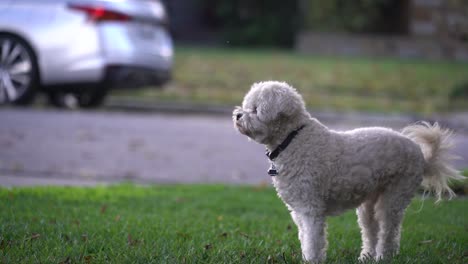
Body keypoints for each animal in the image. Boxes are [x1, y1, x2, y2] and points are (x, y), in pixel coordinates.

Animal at [232, 81, 462, 262]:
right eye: (247, 106)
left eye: (255, 109)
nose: (238, 115)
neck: (293, 139)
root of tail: (420, 154)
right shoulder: (299, 211)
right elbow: (305, 238)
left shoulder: (311, 209)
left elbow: (313, 241)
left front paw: (312, 260)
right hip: (369, 204)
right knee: (370, 231)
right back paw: (366, 257)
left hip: (395, 195)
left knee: (389, 230)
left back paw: (383, 256)